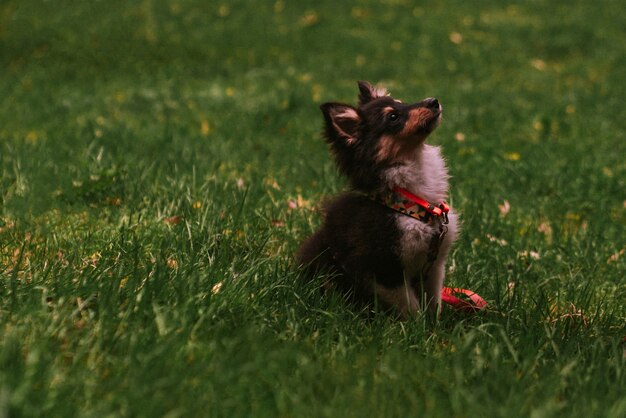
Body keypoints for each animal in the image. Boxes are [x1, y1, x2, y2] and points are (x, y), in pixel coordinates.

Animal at [294, 81, 456, 316]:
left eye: (402, 102)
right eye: (393, 117)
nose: (433, 101)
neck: (409, 204)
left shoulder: (434, 267)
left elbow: (433, 303)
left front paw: (436, 323)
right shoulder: (383, 268)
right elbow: (411, 306)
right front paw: (417, 325)